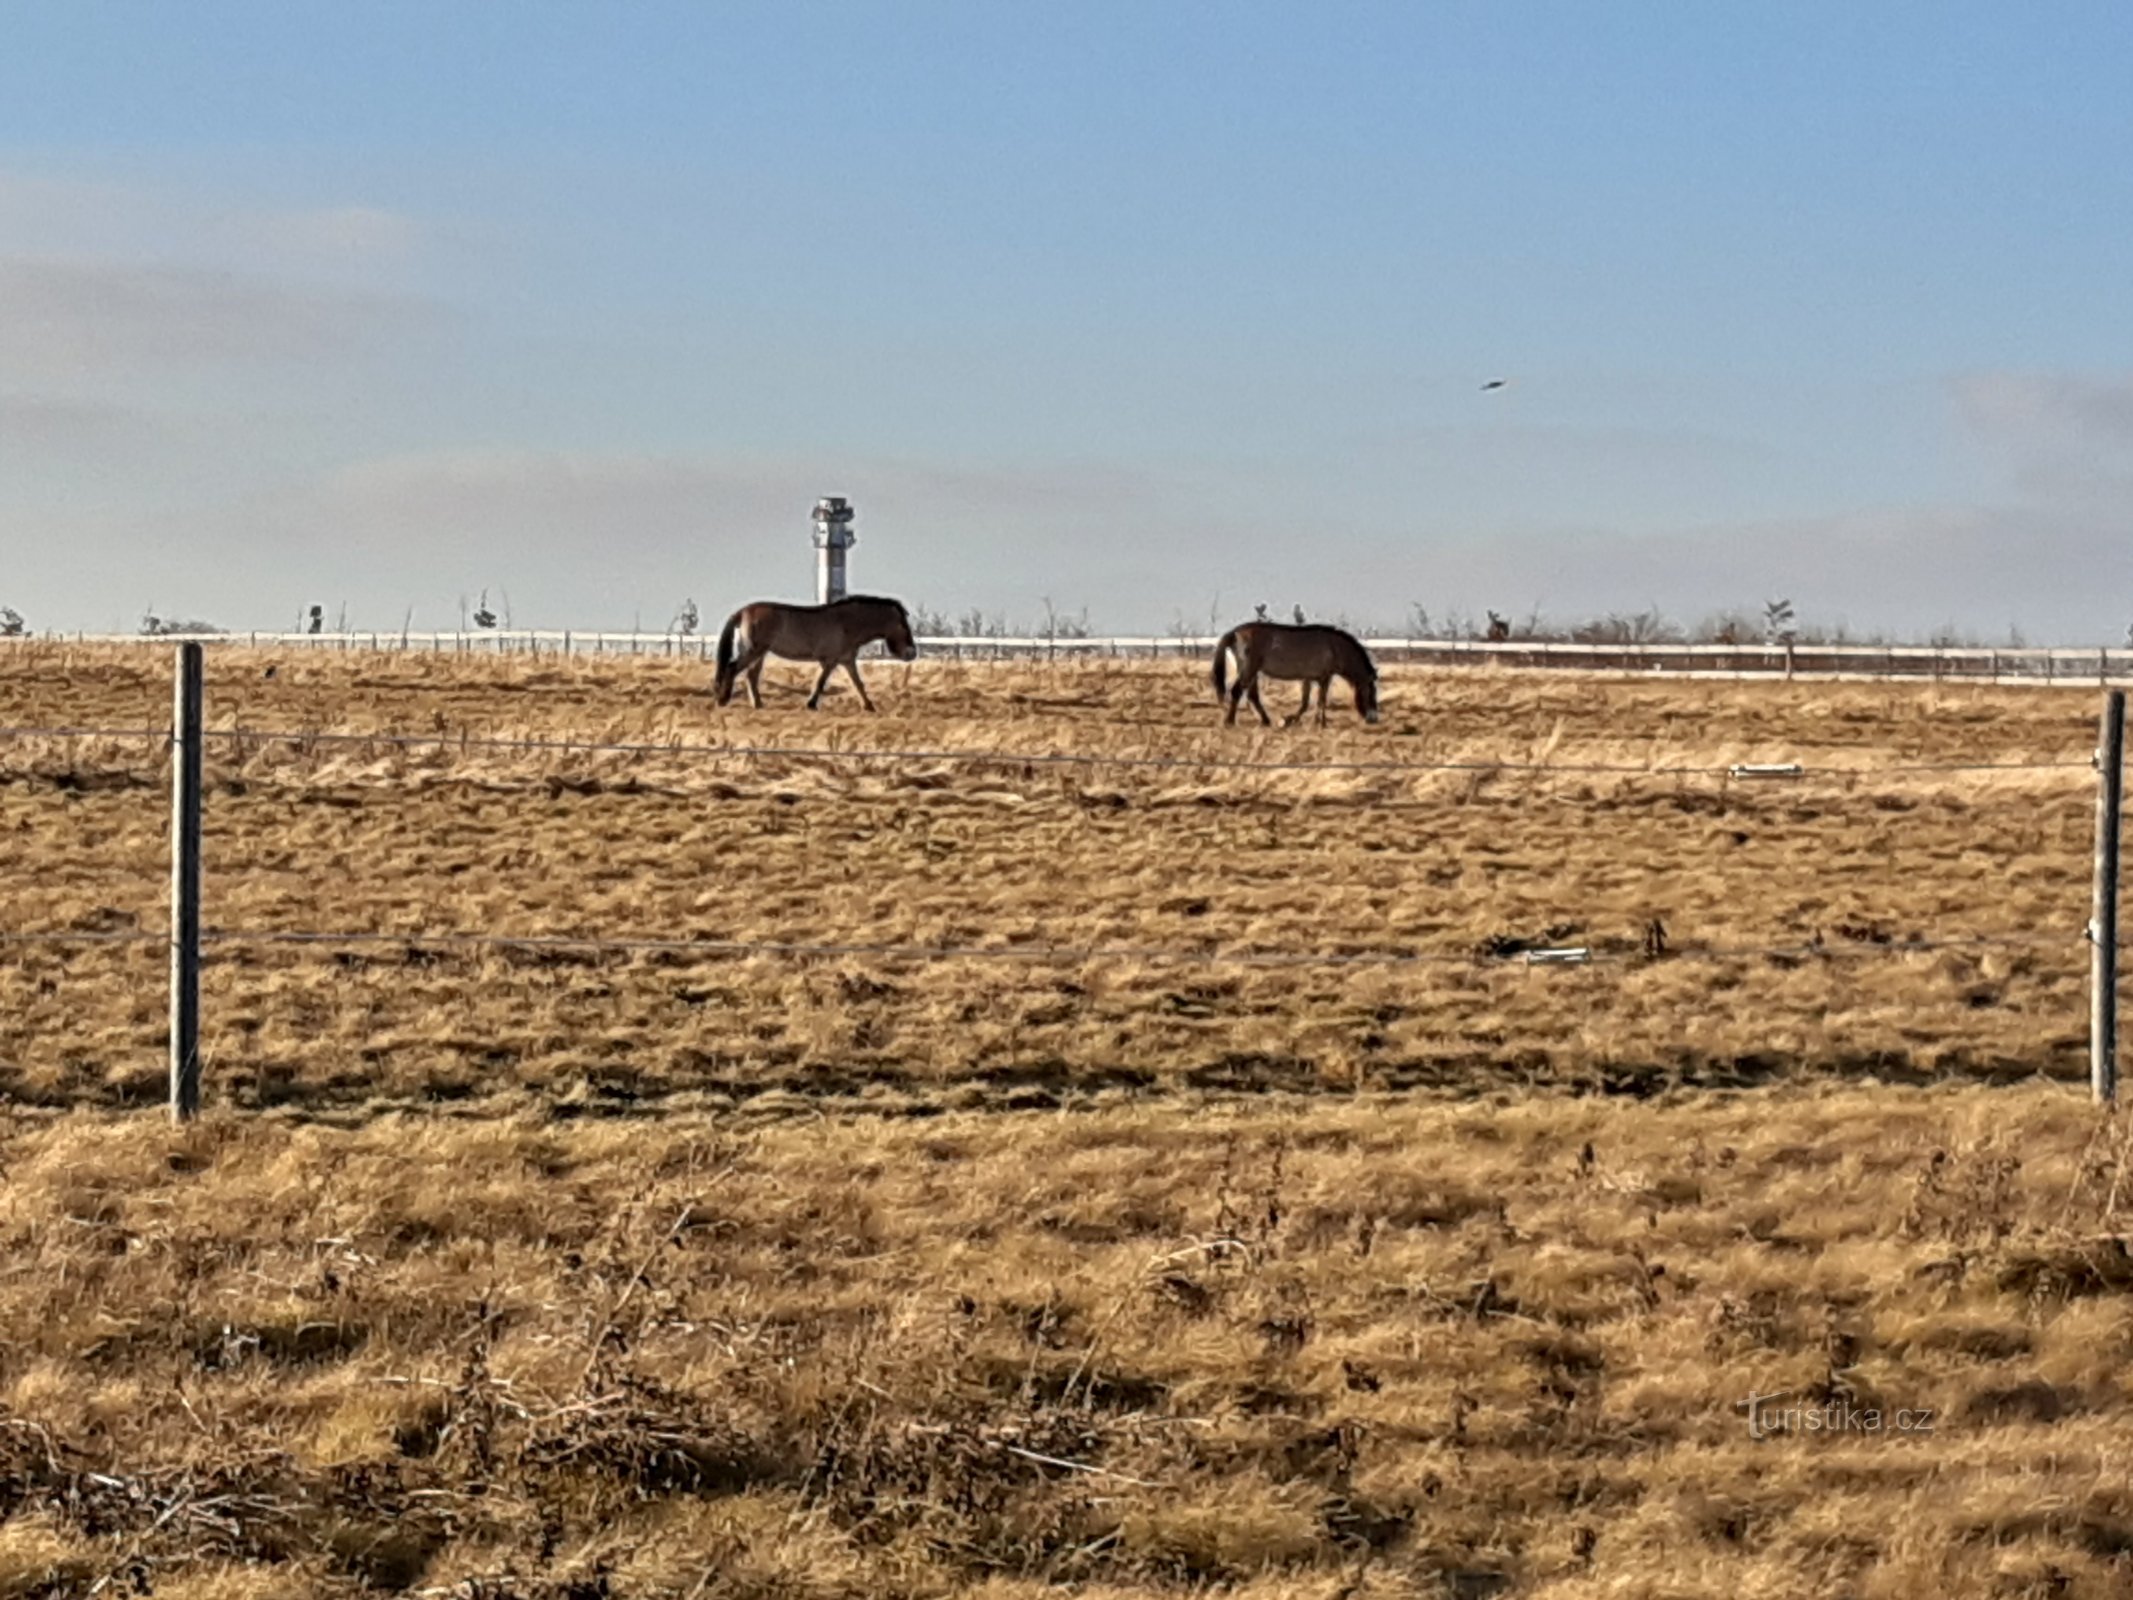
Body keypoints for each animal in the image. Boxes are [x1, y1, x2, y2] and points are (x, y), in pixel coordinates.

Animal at [716, 593, 917, 712]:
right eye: (902, 624)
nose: (912, 653)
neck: (847, 622)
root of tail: (743, 612)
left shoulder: (847, 660)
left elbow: (858, 683)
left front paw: (869, 706)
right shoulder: (830, 661)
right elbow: (820, 682)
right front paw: (811, 704)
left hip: (759, 653)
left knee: (751, 676)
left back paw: (757, 704)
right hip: (753, 651)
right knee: (732, 668)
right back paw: (723, 700)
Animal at [1220, 622, 1382, 729]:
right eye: (1372, 692)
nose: (1374, 719)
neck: (1335, 647)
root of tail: (1236, 632)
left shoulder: (1308, 678)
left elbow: (1305, 703)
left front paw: (1291, 720)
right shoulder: (1325, 678)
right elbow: (1321, 701)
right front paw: (1321, 723)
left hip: (1251, 672)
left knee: (1253, 696)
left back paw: (1265, 721)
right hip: (1249, 670)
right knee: (1237, 692)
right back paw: (1229, 721)